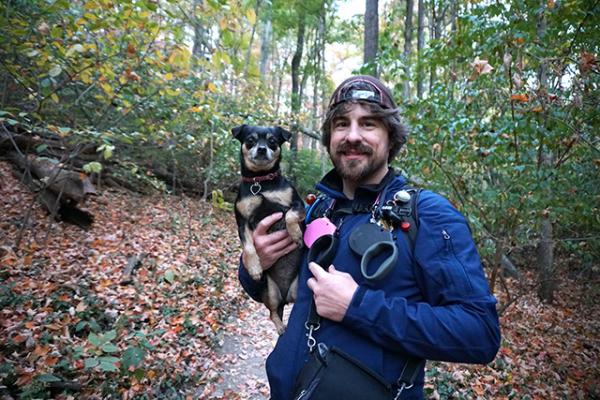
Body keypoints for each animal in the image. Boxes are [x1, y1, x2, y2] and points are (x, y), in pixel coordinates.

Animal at [230, 125, 304, 334]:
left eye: (272, 141)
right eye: (250, 140)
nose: (262, 149)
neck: (261, 182)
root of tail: (286, 297)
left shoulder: (297, 204)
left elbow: (290, 216)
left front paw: (296, 234)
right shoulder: (242, 222)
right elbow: (248, 247)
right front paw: (254, 268)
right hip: (270, 292)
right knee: (272, 313)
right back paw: (281, 327)